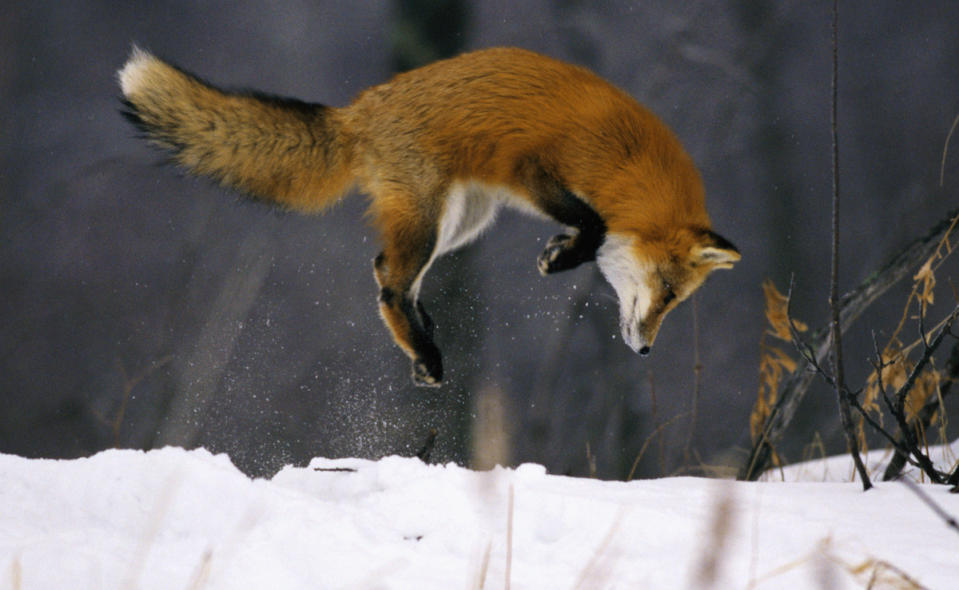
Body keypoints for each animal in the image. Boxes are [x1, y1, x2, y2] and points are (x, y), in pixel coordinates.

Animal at [120, 46, 744, 388]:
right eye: (667, 291)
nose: (646, 352)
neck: (629, 168)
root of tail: (358, 110)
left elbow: (589, 227)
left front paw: (560, 250)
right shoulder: (532, 167)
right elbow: (593, 224)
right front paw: (564, 255)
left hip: (463, 220)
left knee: (383, 269)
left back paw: (423, 340)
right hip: (431, 218)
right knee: (391, 283)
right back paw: (424, 350)